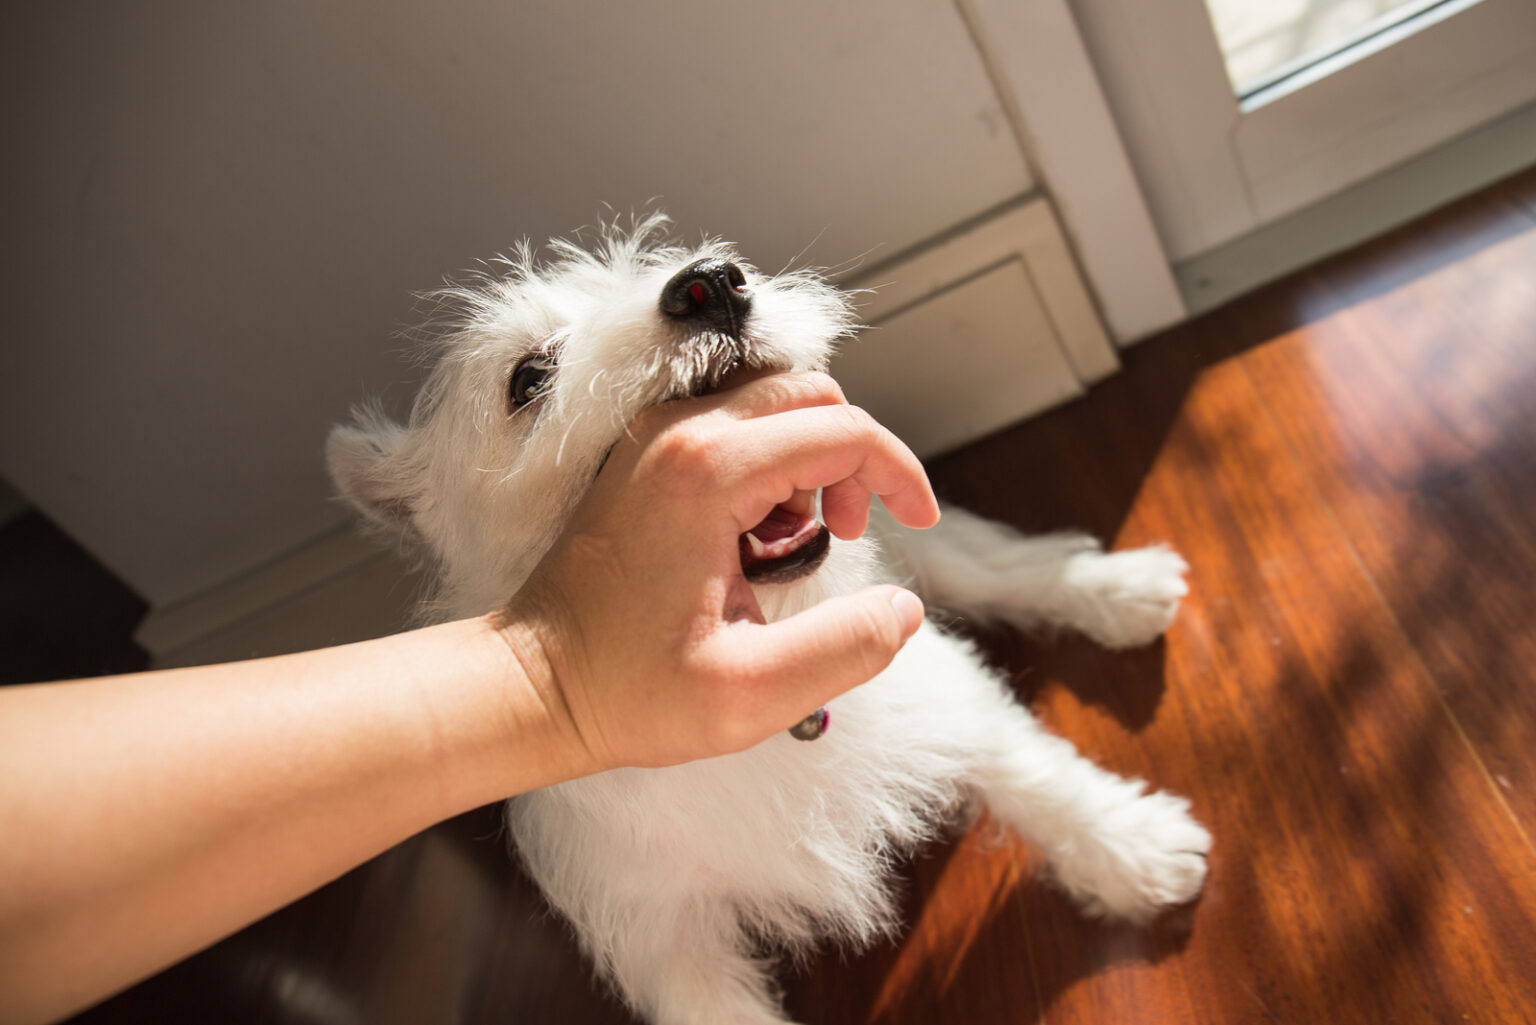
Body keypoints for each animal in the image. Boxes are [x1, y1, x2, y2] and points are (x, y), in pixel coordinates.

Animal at [327, 221, 1210, 1025]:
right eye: (528, 377)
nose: (709, 283)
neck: (768, 656)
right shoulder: (664, 941)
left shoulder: (929, 681)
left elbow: (1031, 768)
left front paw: (1133, 847)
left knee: (996, 564)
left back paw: (1120, 587)